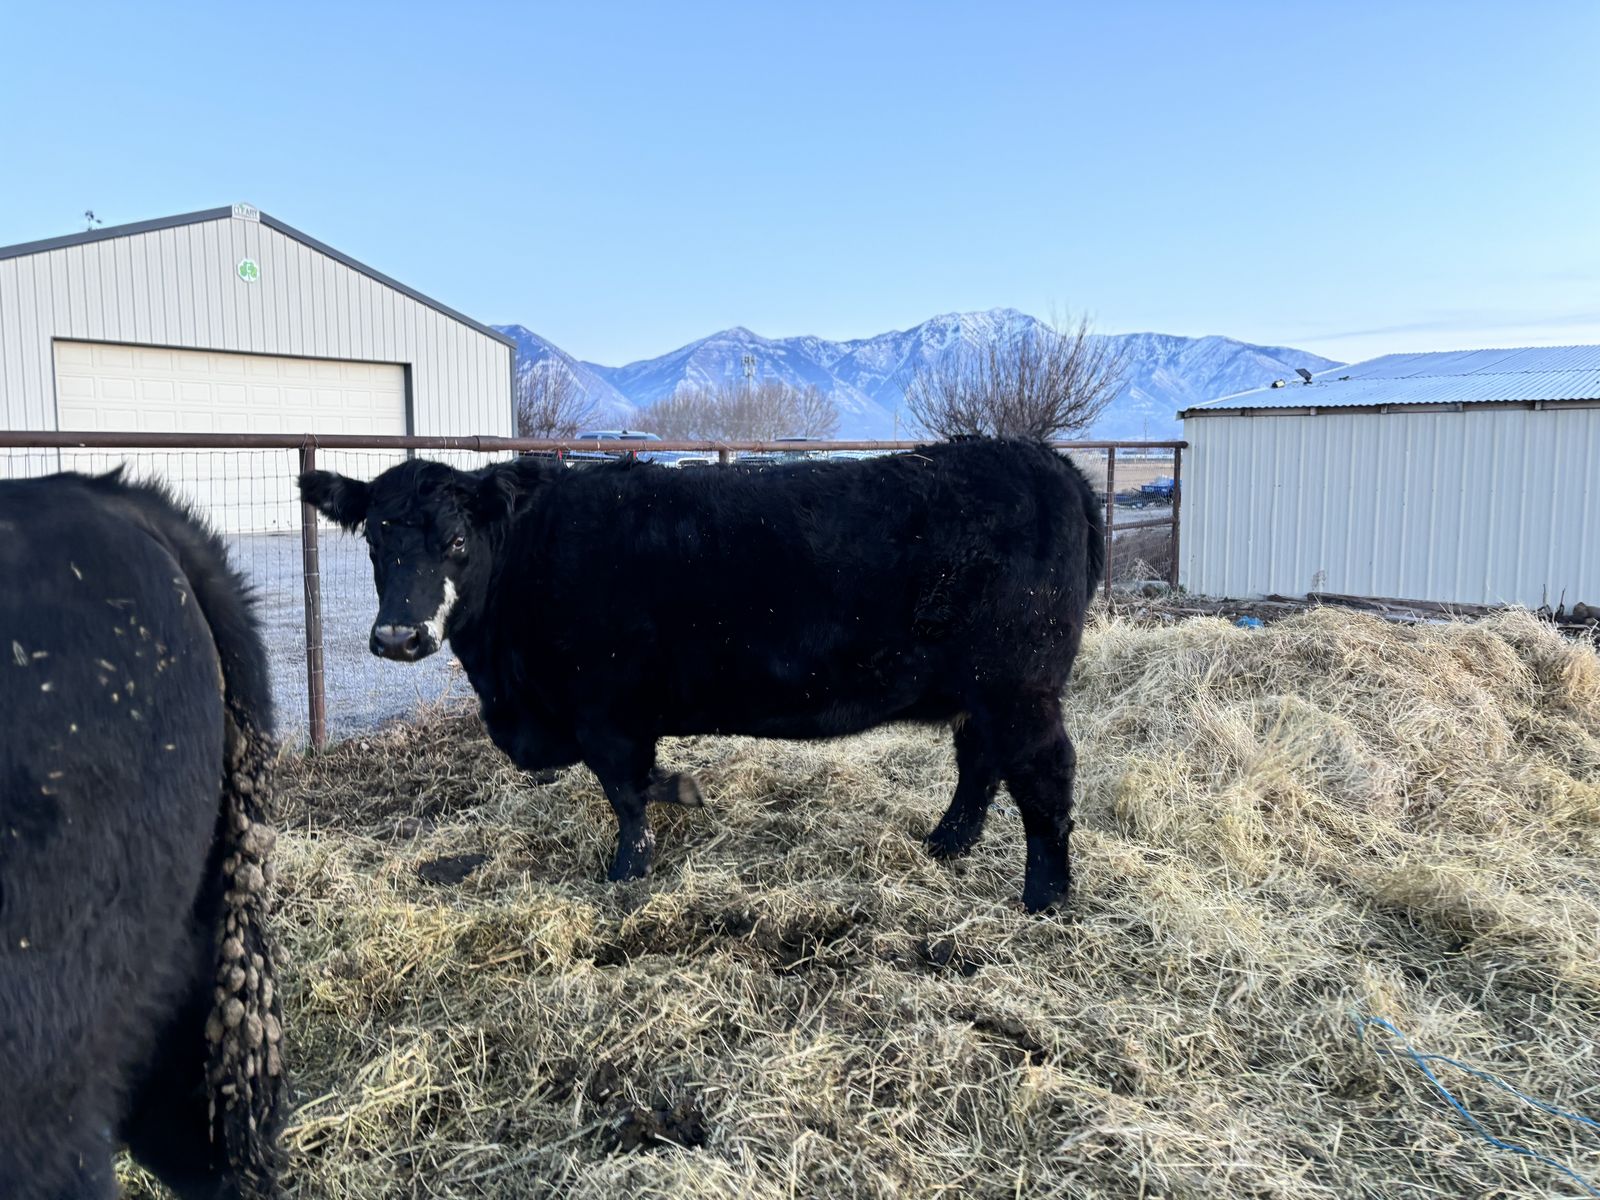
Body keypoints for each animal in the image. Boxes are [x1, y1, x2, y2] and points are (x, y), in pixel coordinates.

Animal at [299, 438, 1103, 912]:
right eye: (373, 540)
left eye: (458, 541)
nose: (399, 636)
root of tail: (1042, 458)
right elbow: (634, 785)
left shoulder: (605, 707)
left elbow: (628, 791)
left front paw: (631, 869)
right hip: (984, 692)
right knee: (980, 763)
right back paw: (948, 843)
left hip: (1019, 688)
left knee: (1044, 776)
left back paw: (1046, 896)